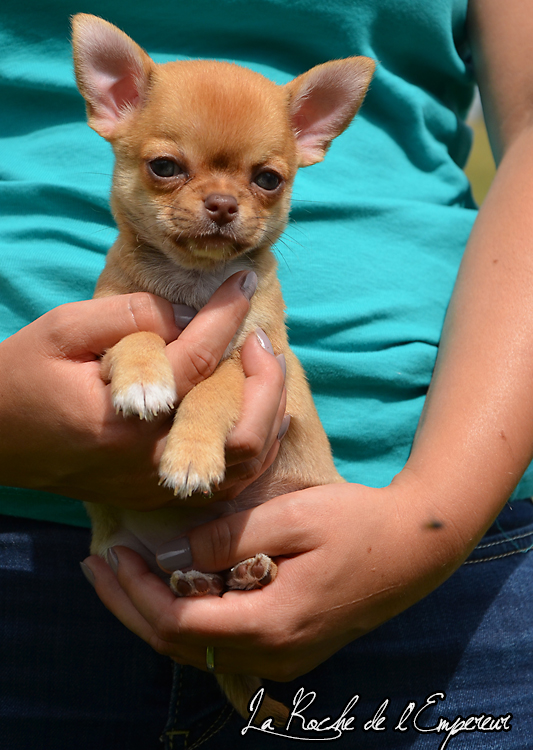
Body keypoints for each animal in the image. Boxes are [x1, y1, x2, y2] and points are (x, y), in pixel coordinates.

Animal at [71, 11, 374, 724]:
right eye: (164, 168)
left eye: (268, 179)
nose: (221, 204)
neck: (192, 285)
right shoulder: (111, 324)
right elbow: (137, 336)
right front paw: (146, 379)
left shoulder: (255, 359)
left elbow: (214, 385)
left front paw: (190, 456)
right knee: (194, 582)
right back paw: (197, 580)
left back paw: (249, 571)